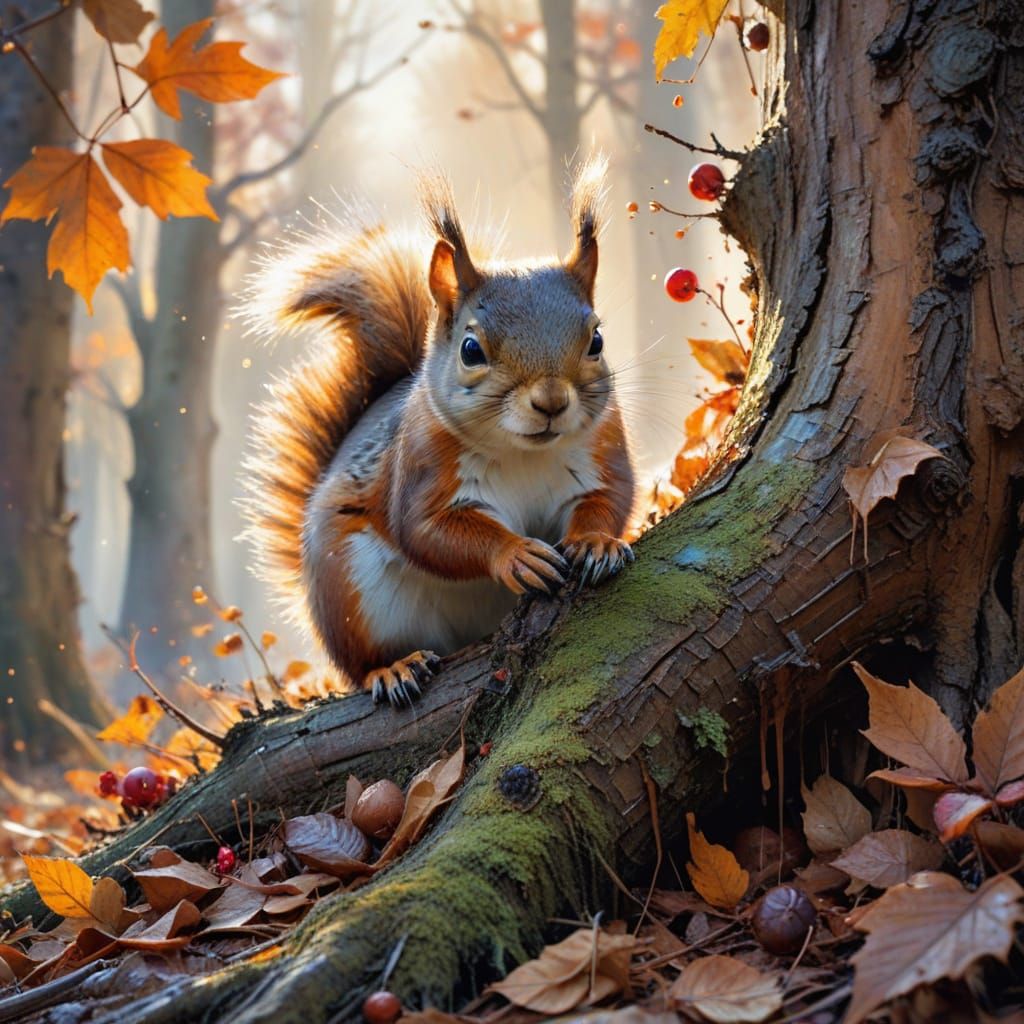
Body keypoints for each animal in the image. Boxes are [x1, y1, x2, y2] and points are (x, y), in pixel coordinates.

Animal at [242, 157, 636, 707]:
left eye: (596, 339)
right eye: (471, 350)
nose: (551, 402)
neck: (525, 455)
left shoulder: (602, 451)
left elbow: (610, 499)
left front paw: (597, 542)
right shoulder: (423, 468)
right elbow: (430, 532)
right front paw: (515, 554)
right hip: (352, 594)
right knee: (361, 663)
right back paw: (393, 669)